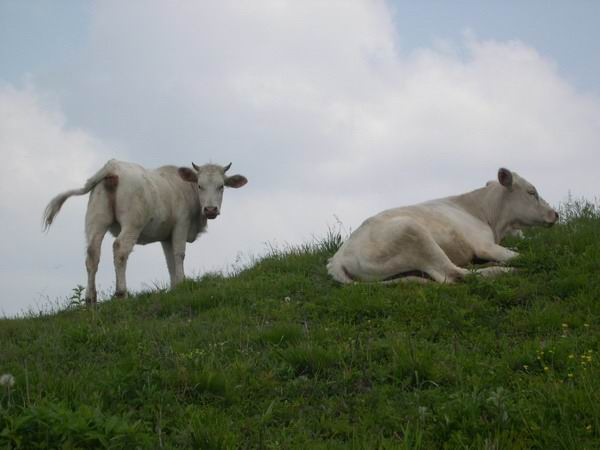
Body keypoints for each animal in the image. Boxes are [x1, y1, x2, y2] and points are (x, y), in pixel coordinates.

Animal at [43, 159, 247, 303]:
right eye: (200, 185)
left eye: (221, 186)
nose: (211, 209)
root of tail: (112, 166)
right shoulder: (181, 225)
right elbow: (179, 254)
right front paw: (182, 283)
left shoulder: (166, 235)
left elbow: (169, 260)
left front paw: (174, 286)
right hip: (132, 222)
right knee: (120, 248)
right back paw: (121, 293)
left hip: (96, 219)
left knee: (92, 253)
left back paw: (90, 299)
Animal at [327, 168, 558, 284]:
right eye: (531, 192)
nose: (555, 214)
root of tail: (337, 258)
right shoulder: (484, 244)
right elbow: (518, 255)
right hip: (414, 233)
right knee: (454, 274)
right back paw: (504, 270)